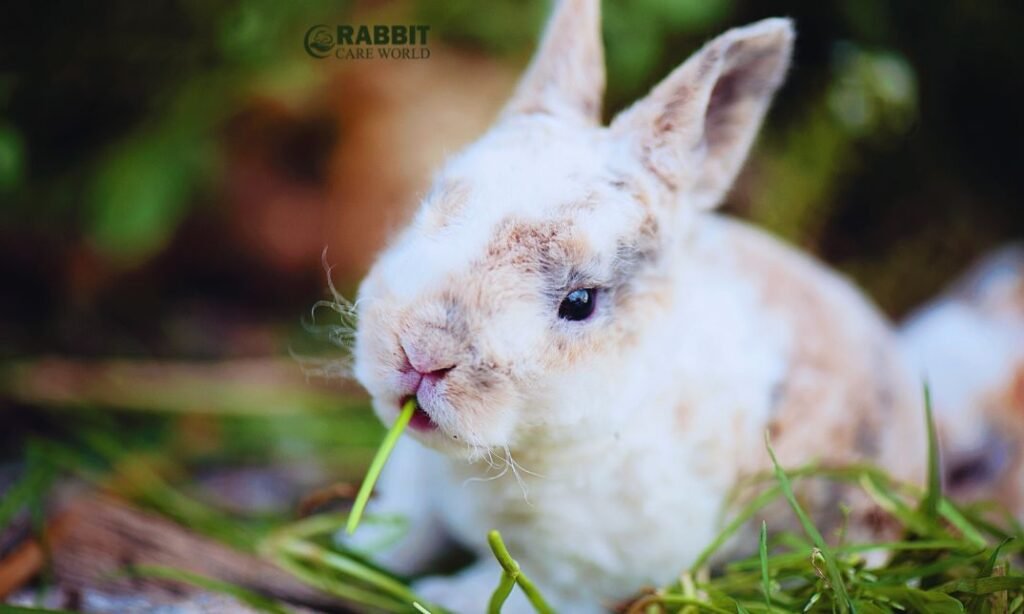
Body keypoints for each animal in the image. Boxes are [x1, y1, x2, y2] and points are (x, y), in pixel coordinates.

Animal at [344, 1, 929, 609]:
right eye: (433, 205)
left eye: (580, 302)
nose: (421, 353)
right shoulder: (418, 480)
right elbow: (410, 525)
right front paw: (355, 543)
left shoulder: (576, 573)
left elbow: (506, 585)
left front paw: (439, 593)